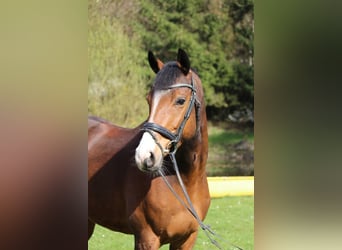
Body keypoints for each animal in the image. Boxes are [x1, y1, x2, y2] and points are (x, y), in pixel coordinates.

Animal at [87, 49, 211, 250]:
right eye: (149, 100)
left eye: (180, 100)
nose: (144, 156)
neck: (185, 181)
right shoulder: (147, 238)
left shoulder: (186, 239)